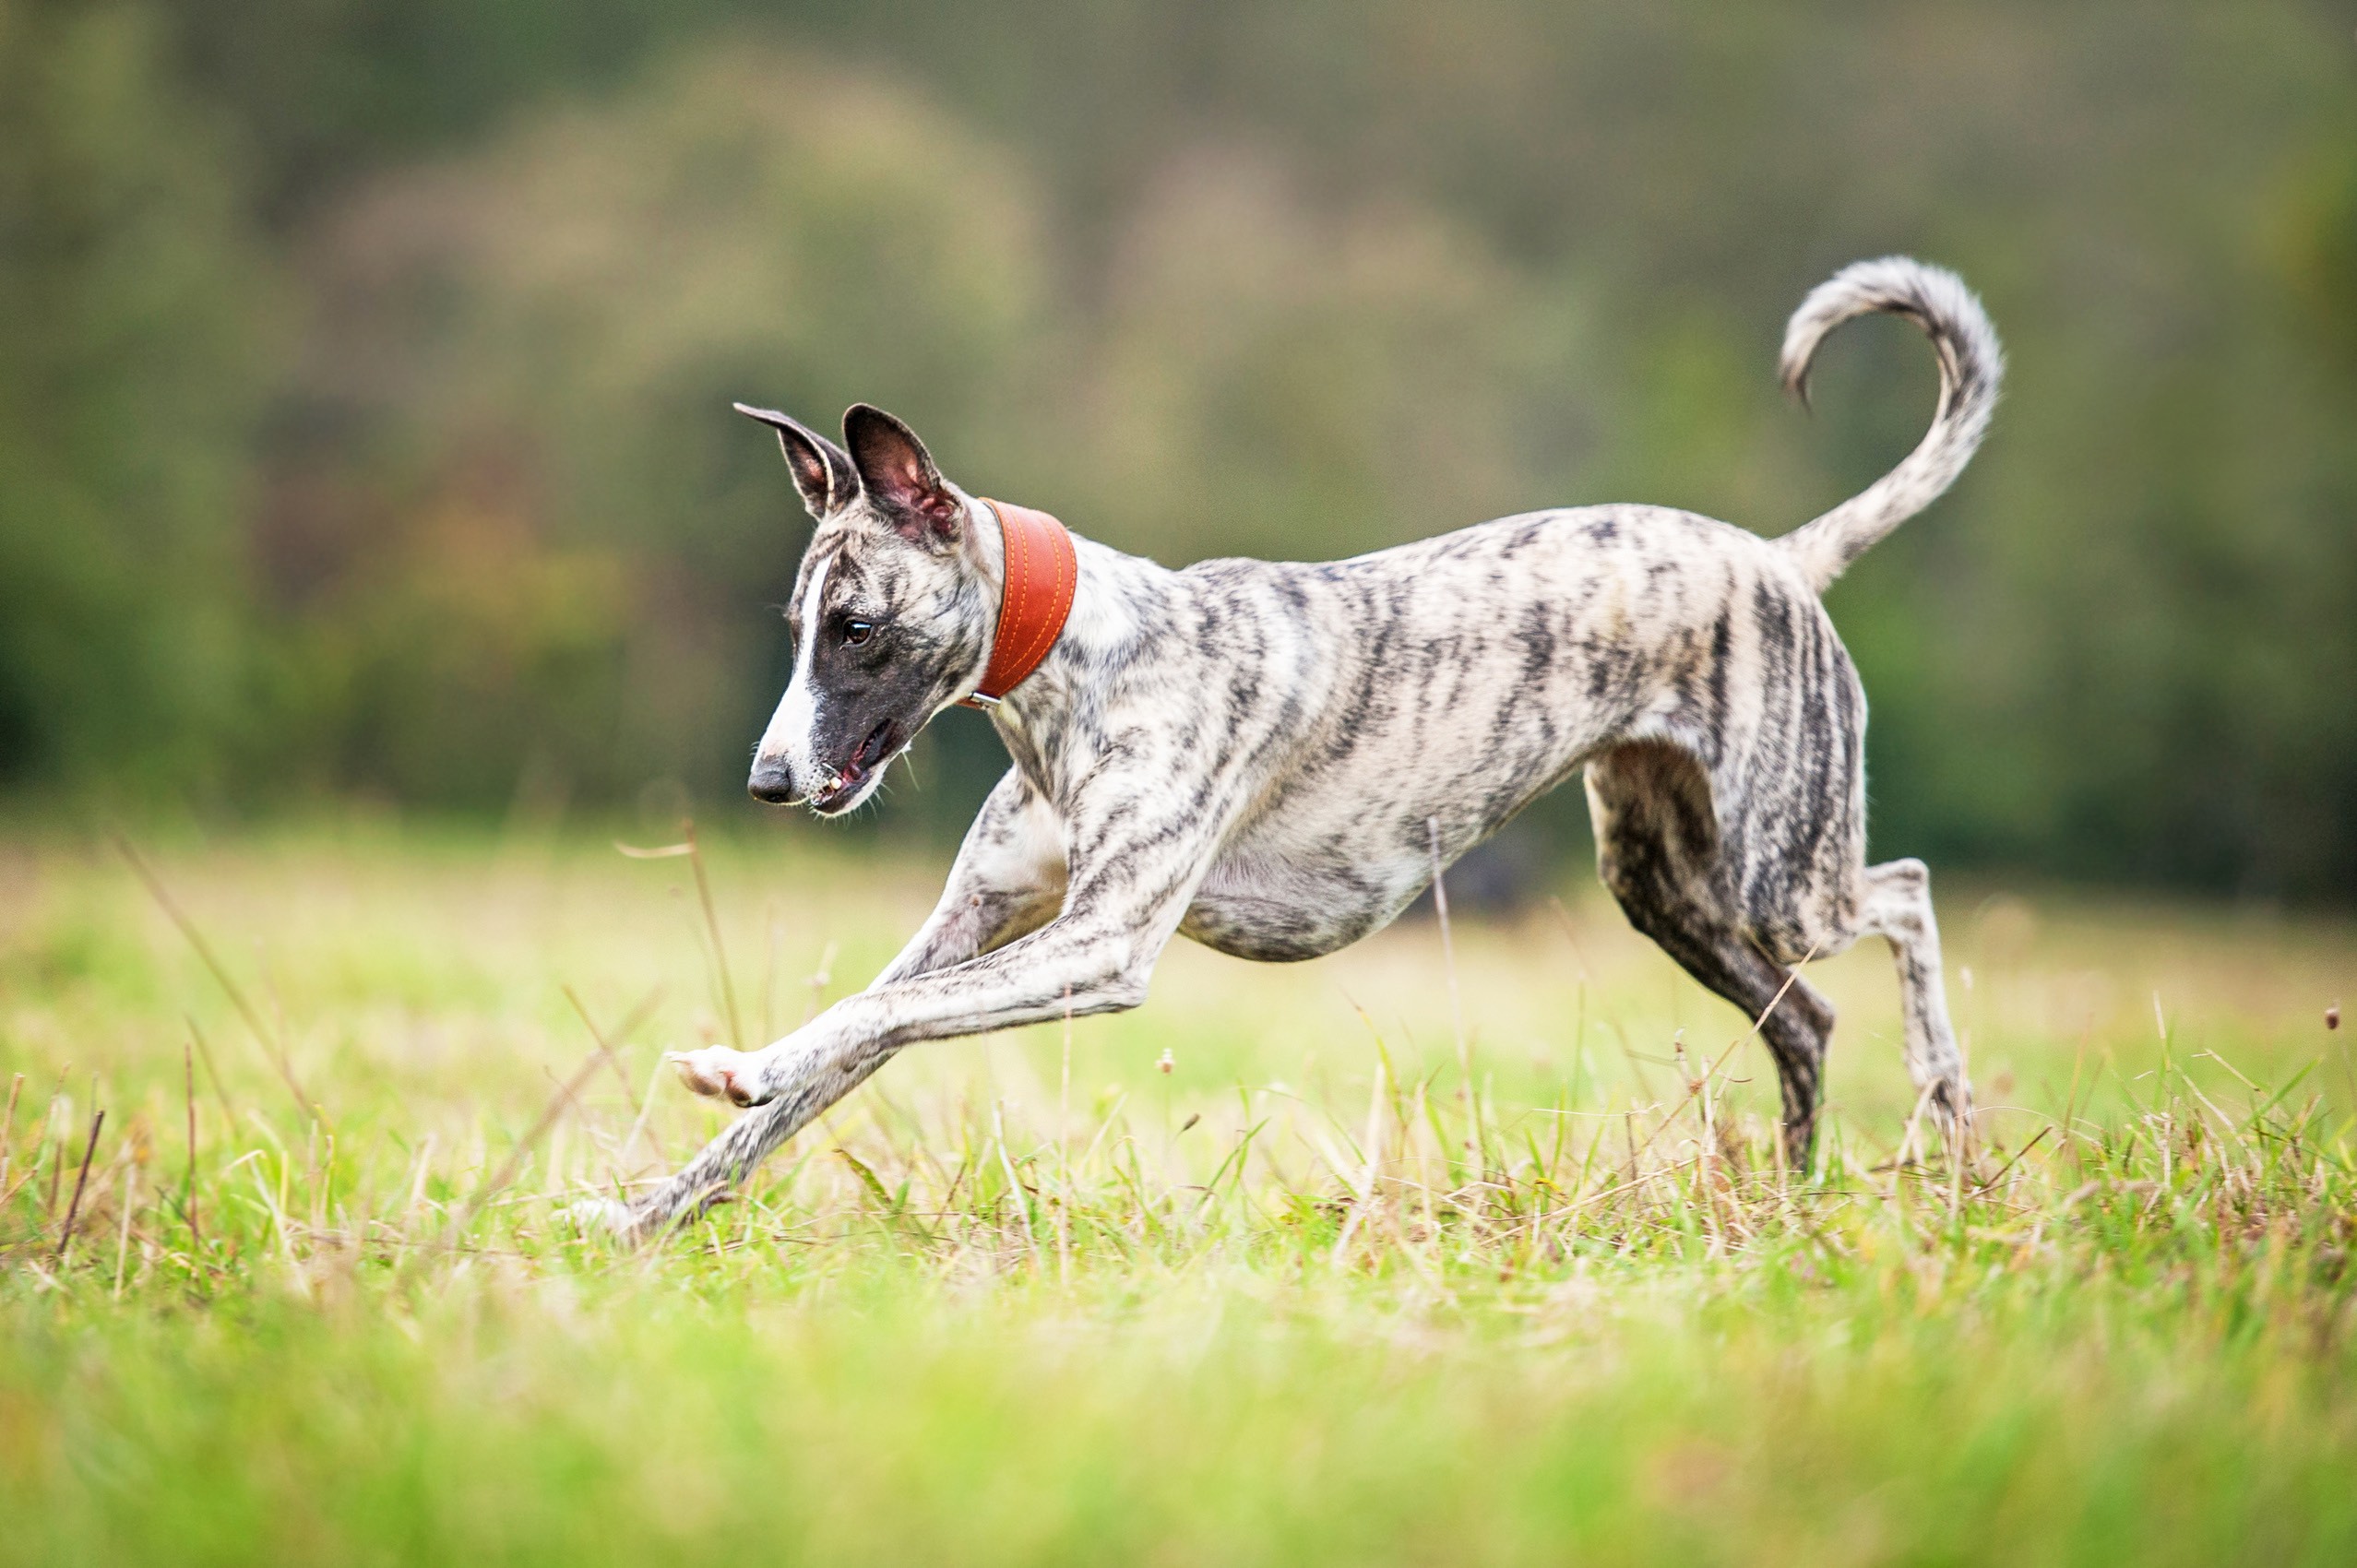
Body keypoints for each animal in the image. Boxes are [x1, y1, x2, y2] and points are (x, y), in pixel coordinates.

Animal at [603, 253, 1989, 1235]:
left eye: (852, 625)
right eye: (794, 626)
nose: (766, 781)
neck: (1084, 666)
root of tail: (1780, 557)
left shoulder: (1100, 943)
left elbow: (852, 1018)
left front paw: (741, 1063)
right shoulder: (977, 928)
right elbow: (845, 1049)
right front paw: (636, 1216)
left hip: (1777, 868)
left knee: (1904, 893)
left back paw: (1946, 1115)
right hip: (1661, 881)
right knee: (1806, 1019)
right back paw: (1794, 1205)